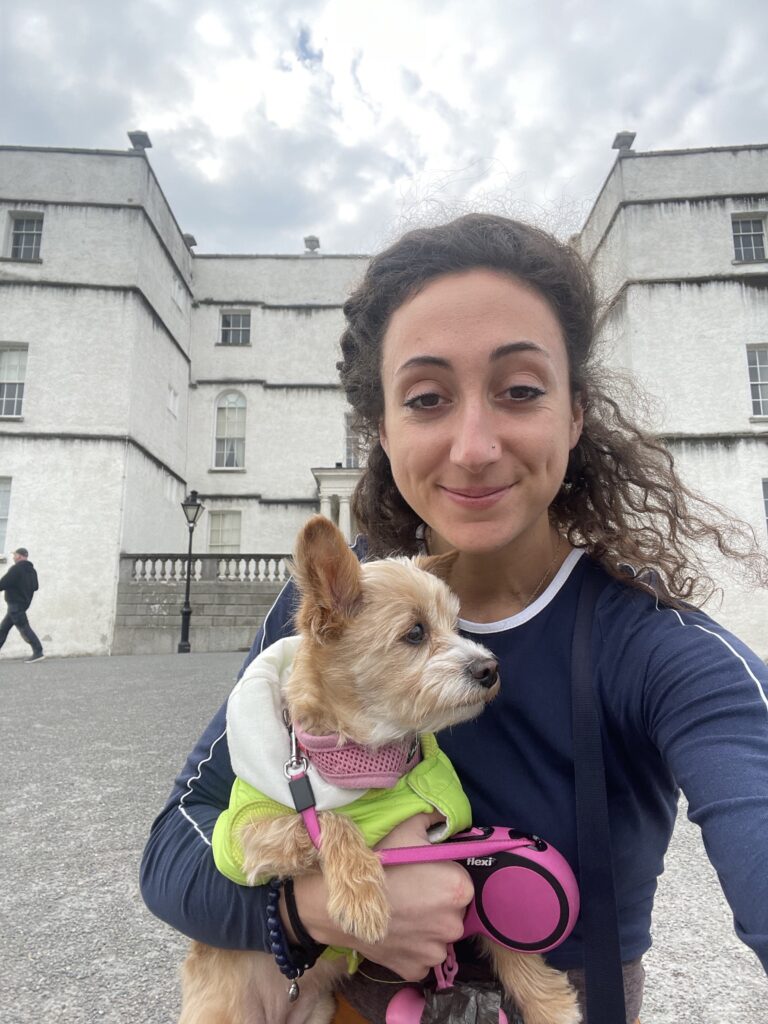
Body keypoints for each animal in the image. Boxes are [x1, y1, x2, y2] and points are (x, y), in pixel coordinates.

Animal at [179, 516, 577, 1024]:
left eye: (455, 625)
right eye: (415, 633)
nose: (490, 668)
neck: (370, 759)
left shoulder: (449, 843)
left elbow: (503, 939)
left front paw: (548, 1001)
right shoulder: (245, 836)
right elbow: (328, 818)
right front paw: (361, 896)